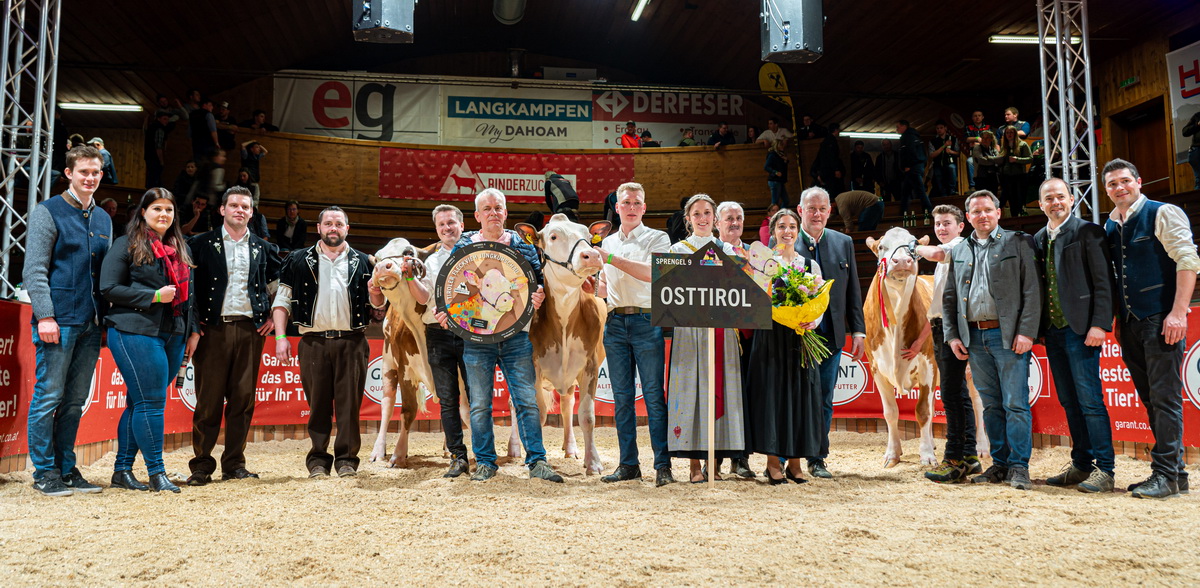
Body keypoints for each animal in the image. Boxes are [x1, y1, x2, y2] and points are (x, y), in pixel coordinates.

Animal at [511, 213, 614, 475]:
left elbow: (587, 416)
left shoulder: (590, 366)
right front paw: (537, 460)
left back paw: (571, 448)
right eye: (554, 236)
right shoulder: (532, 368)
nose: (592, 255)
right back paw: (514, 449)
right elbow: (535, 416)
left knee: (567, 403)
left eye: (588, 236)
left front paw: (593, 462)